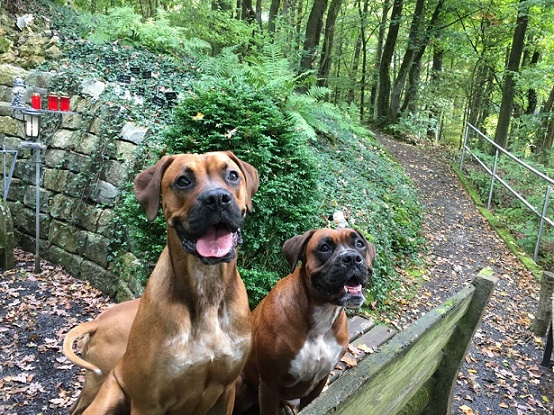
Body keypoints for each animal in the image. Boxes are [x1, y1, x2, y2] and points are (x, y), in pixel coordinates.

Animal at [63, 151, 258, 415]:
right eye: (183, 181)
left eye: (232, 175)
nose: (217, 198)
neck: (206, 289)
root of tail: (98, 321)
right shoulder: (148, 402)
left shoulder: (226, 392)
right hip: (104, 391)